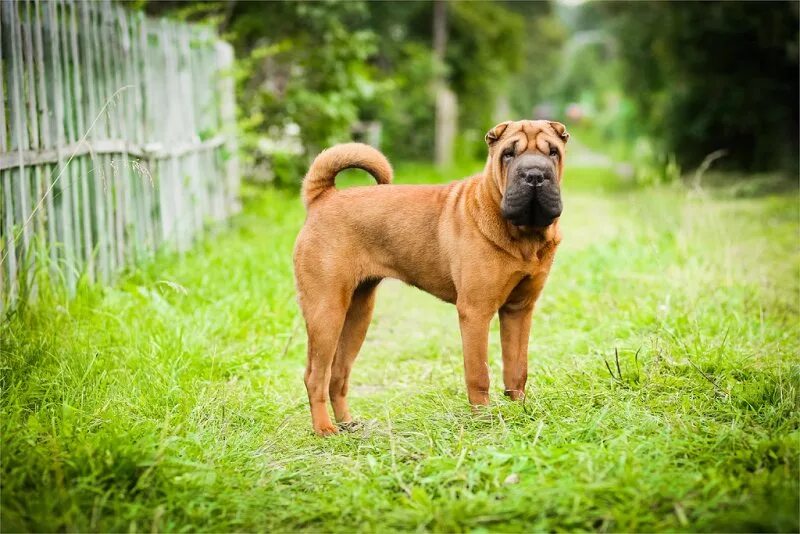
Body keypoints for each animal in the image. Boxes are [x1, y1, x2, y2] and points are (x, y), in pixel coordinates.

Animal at [294, 118, 568, 436]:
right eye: (508, 154)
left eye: (553, 152)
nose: (534, 175)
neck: (524, 237)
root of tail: (322, 197)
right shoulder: (476, 312)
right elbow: (478, 373)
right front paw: (483, 420)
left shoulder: (519, 310)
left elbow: (516, 368)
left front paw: (519, 410)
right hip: (326, 310)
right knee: (315, 375)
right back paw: (325, 429)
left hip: (358, 313)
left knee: (338, 374)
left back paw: (348, 424)